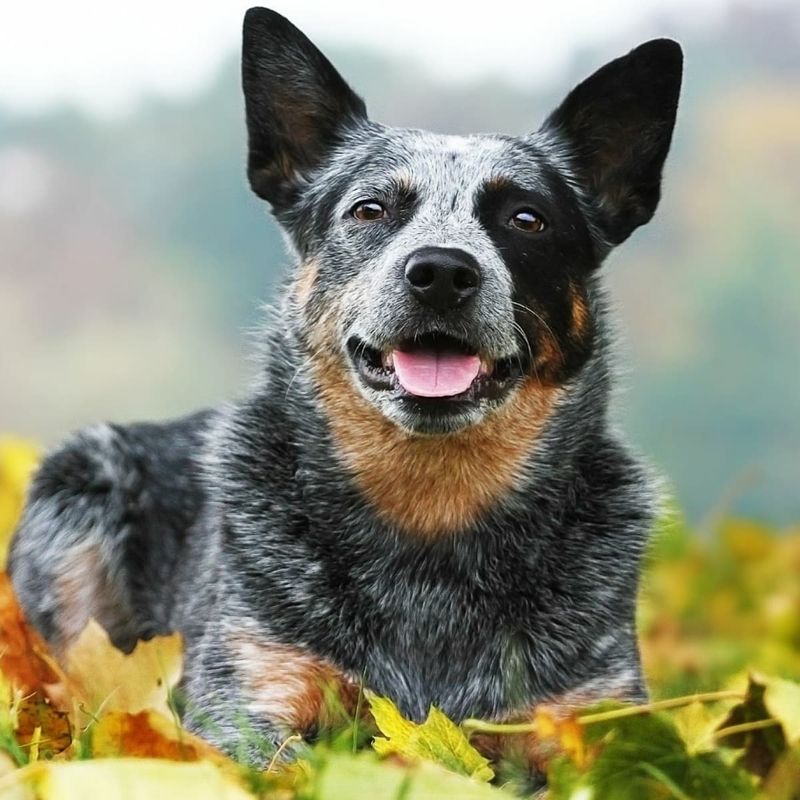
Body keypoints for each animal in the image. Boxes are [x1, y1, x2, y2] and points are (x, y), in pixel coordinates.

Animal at [6, 6, 680, 780]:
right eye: (370, 208)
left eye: (527, 219)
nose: (441, 271)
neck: (432, 517)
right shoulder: (249, 698)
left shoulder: (594, 719)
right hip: (78, 493)